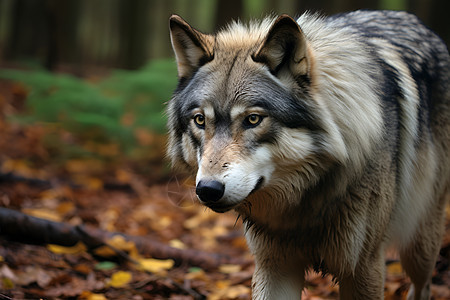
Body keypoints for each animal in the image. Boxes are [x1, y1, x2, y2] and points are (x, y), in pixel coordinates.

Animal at [166, 9, 450, 300]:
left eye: (253, 119)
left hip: (420, 246)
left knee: (422, 285)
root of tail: (411, 19)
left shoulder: (364, 267)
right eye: (200, 120)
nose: (208, 189)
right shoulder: (274, 266)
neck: (303, 205)